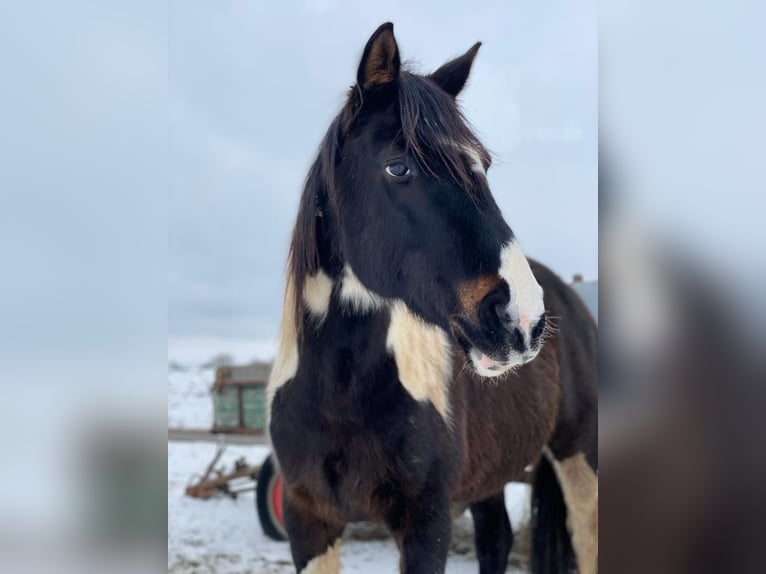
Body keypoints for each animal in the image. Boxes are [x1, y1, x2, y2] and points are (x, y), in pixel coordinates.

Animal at [267, 23, 598, 574]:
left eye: (483, 165)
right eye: (399, 168)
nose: (523, 318)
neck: (339, 392)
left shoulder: (427, 523)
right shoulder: (307, 520)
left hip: (579, 453)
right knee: (496, 538)